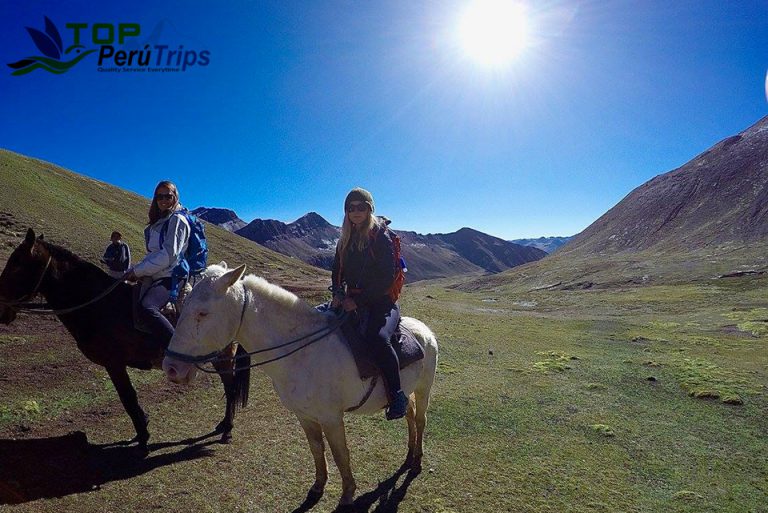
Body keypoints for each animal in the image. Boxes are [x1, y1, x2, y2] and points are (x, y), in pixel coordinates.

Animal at [0, 228, 249, 448]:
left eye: (16, 265)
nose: (3, 311)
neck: (100, 305)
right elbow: (129, 398)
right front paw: (142, 428)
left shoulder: (114, 363)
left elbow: (127, 398)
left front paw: (143, 436)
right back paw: (223, 425)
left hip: (223, 358)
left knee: (230, 388)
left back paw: (227, 430)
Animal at [162, 266, 438, 506]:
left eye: (202, 313)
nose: (171, 368)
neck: (303, 353)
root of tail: (424, 330)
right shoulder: (304, 416)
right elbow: (317, 450)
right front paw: (318, 486)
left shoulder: (331, 418)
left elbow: (341, 454)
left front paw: (347, 494)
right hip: (406, 391)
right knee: (410, 416)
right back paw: (409, 455)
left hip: (424, 388)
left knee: (421, 420)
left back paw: (417, 461)